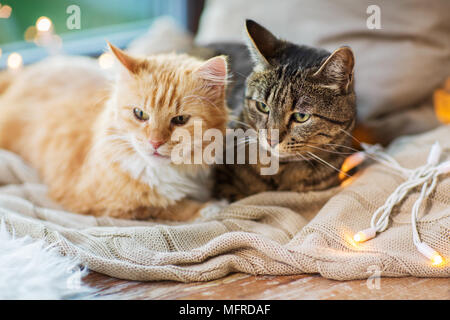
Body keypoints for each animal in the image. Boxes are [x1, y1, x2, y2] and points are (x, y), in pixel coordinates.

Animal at [0, 43, 229, 220]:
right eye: (140, 114)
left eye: (180, 120)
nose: (155, 143)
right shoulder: (101, 202)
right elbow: (166, 206)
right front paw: (210, 208)